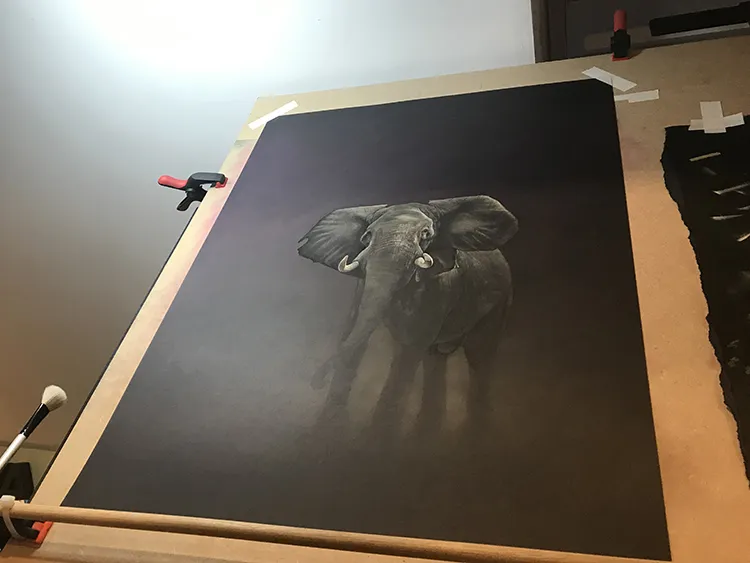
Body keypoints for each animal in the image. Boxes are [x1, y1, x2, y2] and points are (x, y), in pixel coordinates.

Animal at [297, 195, 518, 435]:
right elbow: (354, 332)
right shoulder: (362, 286)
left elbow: (409, 350)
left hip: (498, 302)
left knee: (479, 358)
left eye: (426, 234)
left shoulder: (440, 288)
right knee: (434, 359)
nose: (315, 382)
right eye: (367, 236)